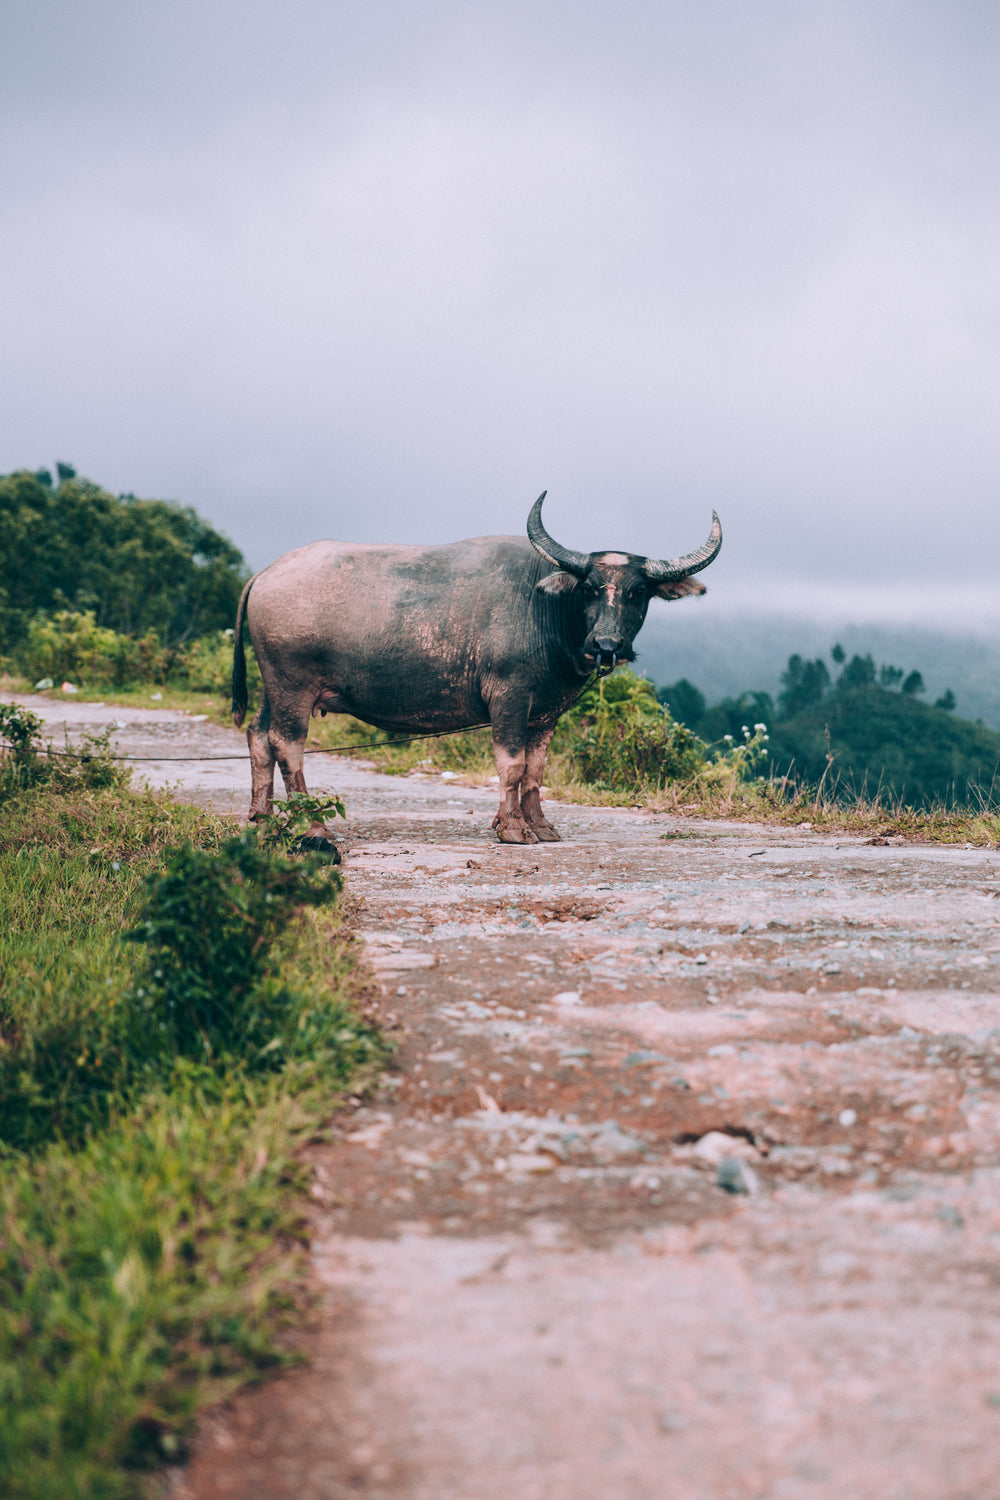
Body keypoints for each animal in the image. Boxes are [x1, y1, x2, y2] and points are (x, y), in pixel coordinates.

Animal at [233, 489, 719, 852]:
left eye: (638, 593)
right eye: (589, 589)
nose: (606, 644)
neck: (544, 609)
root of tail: (267, 573)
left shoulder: (545, 712)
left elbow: (536, 770)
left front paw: (540, 826)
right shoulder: (509, 698)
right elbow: (512, 764)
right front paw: (513, 829)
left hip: (272, 686)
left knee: (259, 735)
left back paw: (262, 819)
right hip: (293, 685)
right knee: (288, 744)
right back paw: (312, 827)